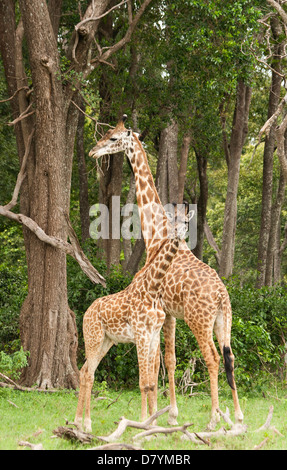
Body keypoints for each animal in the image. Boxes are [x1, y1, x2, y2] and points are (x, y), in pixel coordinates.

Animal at [75, 196, 190, 432]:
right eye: (172, 220)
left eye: (186, 221)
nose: (179, 233)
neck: (153, 288)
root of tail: (86, 313)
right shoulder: (140, 334)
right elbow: (143, 382)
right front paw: (144, 421)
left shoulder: (153, 335)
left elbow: (152, 382)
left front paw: (154, 423)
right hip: (93, 338)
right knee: (89, 374)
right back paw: (87, 425)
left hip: (106, 342)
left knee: (83, 371)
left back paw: (76, 422)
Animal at [89, 114, 244, 430]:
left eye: (113, 138)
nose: (93, 151)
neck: (155, 233)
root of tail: (222, 296)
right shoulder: (167, 314)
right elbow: (165, 361)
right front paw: (166, 414)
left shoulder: (165, 314)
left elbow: (162, 361)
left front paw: (165, 415)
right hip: (224, 320)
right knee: (230, 357)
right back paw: (237, 416)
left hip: (199, 320)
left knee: (211, 358)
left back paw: (213, 419)